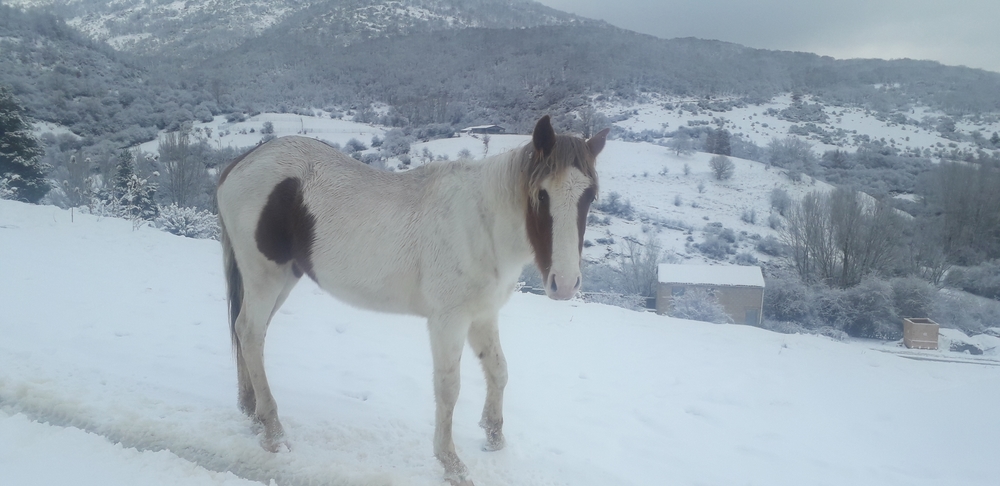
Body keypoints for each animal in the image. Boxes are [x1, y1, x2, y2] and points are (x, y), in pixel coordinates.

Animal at [219, 116, 608, 484]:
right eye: (542, 195)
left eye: (590, 196)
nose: (565, 284)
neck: (482, 225)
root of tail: (241, 163)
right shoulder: (448, 322)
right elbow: (449, 388)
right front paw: (452, 464)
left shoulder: (482, 316)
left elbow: (499, 371)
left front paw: (494, 437)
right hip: (265, 276)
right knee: (250, 332)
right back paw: (273, 431)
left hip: (282, 279)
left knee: (248, 332)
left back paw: (251, 410)